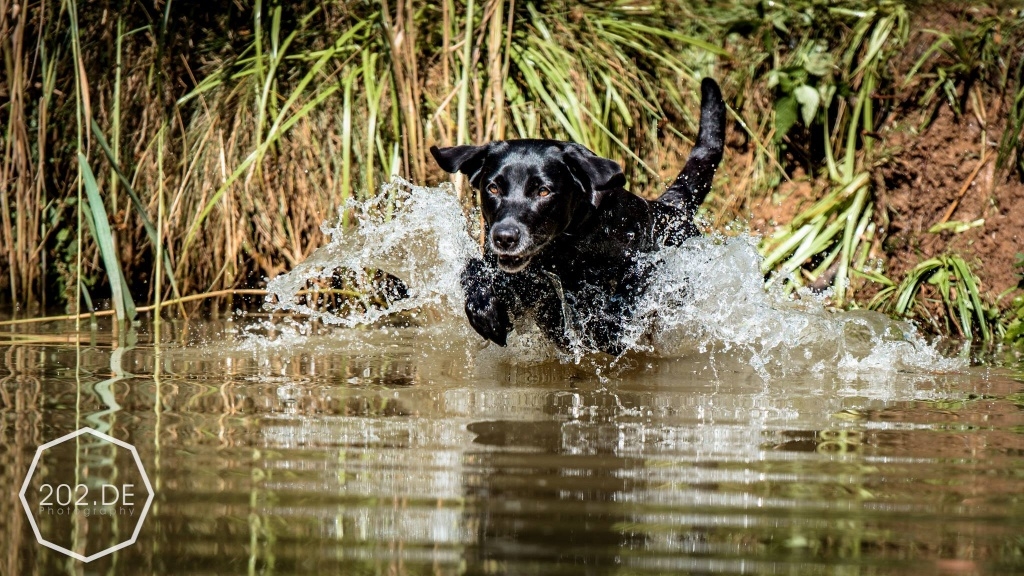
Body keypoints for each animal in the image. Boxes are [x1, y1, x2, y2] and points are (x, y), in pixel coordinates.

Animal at [432, 77, 729, 352]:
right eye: (493, 188)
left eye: (543, 191)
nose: (505, 237)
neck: (562, 250)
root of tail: (672, 208)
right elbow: (473, 269)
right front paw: (484, 310)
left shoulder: (642, 263)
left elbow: (619, 303)